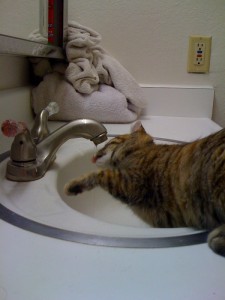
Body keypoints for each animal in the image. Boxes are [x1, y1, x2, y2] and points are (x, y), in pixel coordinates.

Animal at [64, 120, 225, 256]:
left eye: (109, 142)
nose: (93, 156)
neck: (138, 151)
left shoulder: (132, 183)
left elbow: (100, 174)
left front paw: (73, 186)